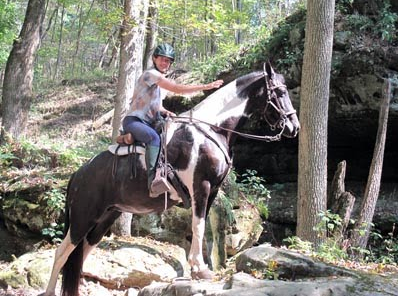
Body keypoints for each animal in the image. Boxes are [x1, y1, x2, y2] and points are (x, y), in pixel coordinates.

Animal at [42, 61, 298, 294]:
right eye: (280, 92)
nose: (294, 127)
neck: (212, 130)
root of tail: (78, 175)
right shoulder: (201, 187)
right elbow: (198, 226)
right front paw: (200, 269)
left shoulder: (212, 191)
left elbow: (200, 227)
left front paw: (198, 268)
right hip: (83, 218)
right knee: (62, 252)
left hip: (105, 218)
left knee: (82, 251)